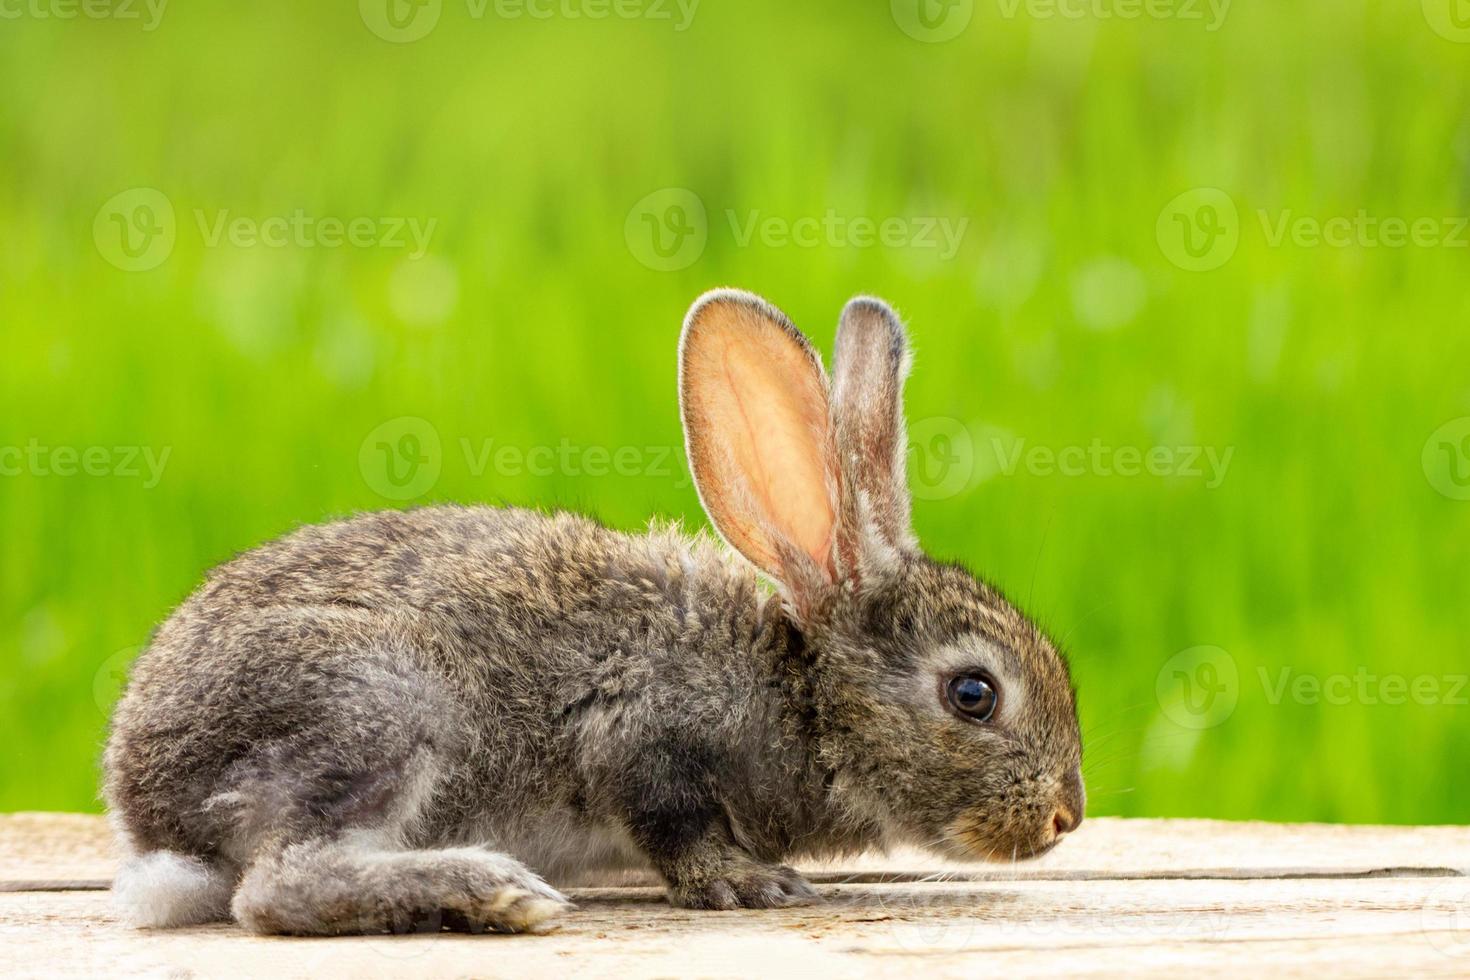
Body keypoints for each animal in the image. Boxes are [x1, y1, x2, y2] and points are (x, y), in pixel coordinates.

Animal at [103, 289, 1087, 934]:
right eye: (973, 695)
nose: (1065, 816)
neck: (802, 697)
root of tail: (145, 805)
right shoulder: (641, 731)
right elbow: (672, 822)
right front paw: (748, 884)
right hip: (378, 701)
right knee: (275, 886)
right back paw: (490, 892)